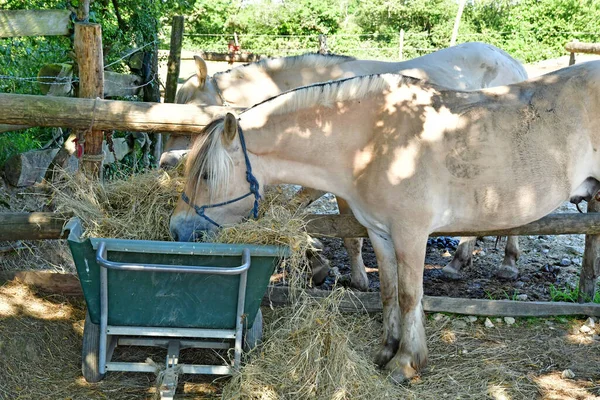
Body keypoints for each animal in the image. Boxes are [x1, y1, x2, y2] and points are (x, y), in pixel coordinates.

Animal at [162, 41, 528, 288]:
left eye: (191, 109)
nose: (166, 161)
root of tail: (514, 63)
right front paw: (317, 258)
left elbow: (342, 229)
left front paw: (352, 276)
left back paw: (501, 263)